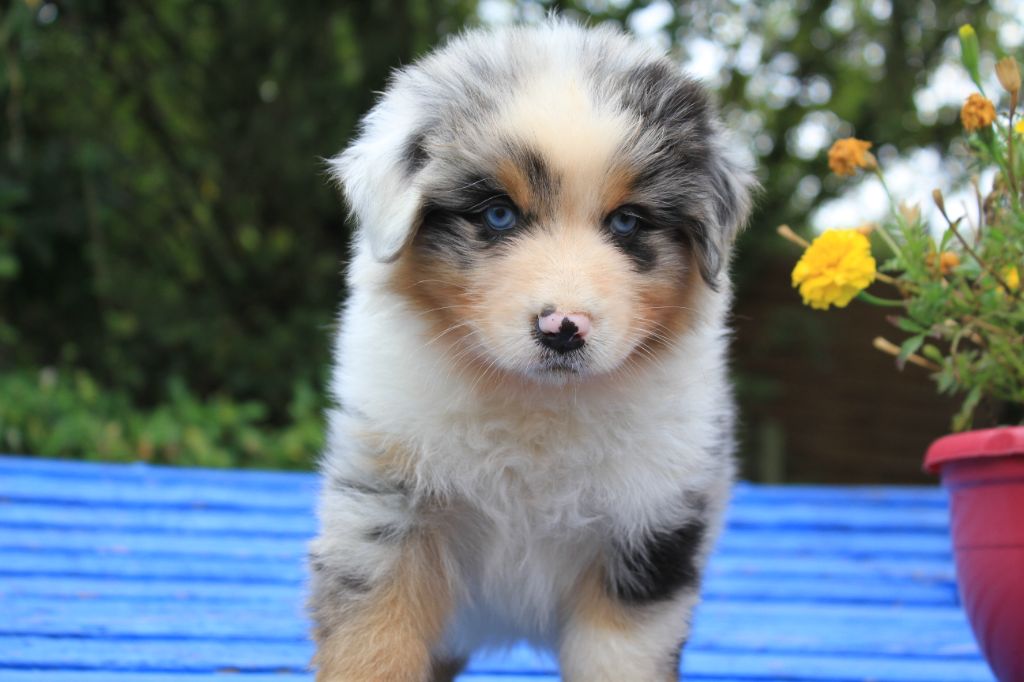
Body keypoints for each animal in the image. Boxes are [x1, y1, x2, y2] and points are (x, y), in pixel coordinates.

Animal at [307, 19, 757, 679]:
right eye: (498, 214)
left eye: (627, 222)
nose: (563, 328)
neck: (536, 404)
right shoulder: (385, 515)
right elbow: (373, 645)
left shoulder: (648, 540)